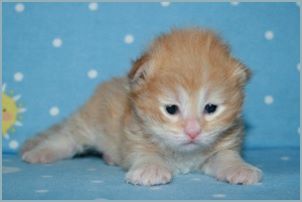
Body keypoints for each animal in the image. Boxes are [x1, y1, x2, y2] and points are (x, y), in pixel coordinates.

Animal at [21, 27, 262, 185]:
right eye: (171, 109)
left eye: (211, 108)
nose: (193, 132)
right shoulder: (134, 137)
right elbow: (145, 154)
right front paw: (150, 169)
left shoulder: (222, 146)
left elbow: (226, 156)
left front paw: (240, 169)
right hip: (90, 123)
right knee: (67, 137)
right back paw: (41, 152)